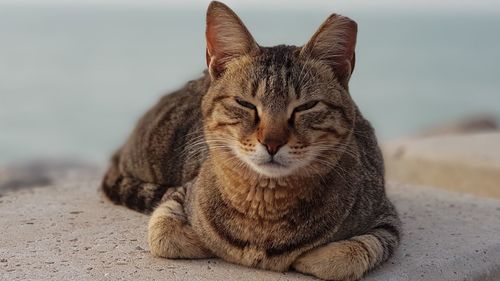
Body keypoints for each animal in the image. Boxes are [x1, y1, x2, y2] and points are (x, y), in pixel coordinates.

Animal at [101, 1, 402, 278]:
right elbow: (165, 234)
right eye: (245, 104)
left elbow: (348, 255)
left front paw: (310, 256)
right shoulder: (182, 193)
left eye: (306, 107)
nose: (272, 143)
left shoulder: (386, 220)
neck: (264, 206)